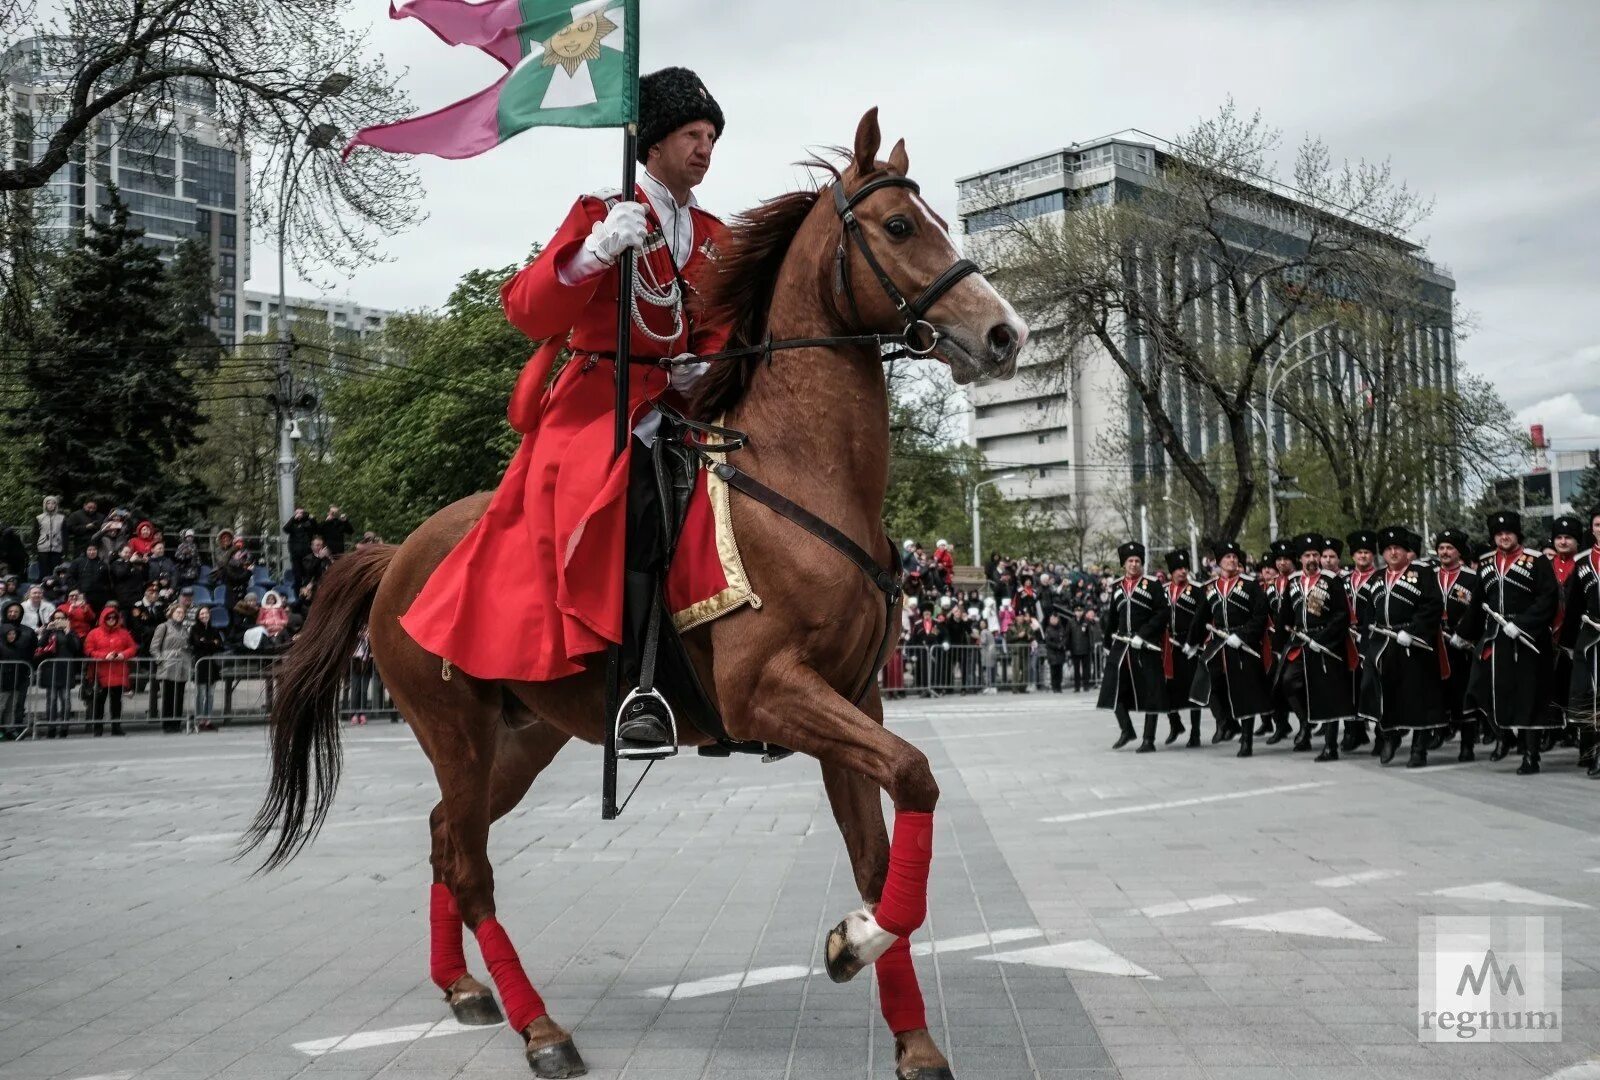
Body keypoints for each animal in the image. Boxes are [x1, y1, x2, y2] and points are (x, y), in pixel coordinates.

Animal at [246, 112, 1024, 1080]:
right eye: (899, 227)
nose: (1003, 334)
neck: (798, 474)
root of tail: (395, 555)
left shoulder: (855, 699)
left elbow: (882, 852)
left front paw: (905, 1021)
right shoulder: (768, 692)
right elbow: (917, 777)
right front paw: (854, 944)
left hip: (524, 737)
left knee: (443, 837)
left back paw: (464, 989)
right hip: (454, 728)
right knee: (469, 864)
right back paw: (541, 1029)